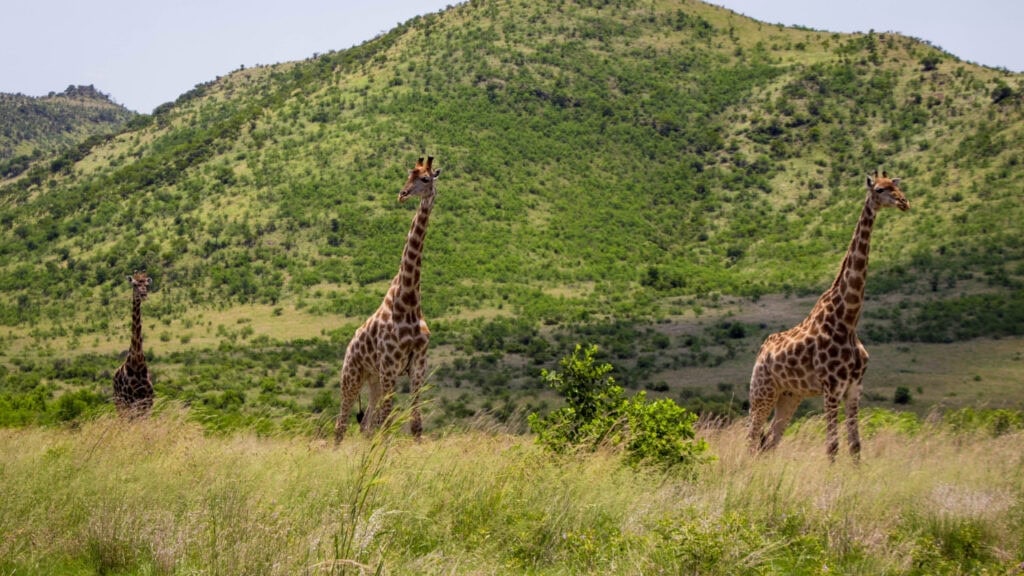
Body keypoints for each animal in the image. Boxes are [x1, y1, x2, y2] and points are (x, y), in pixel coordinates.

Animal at [112, 270, 153, 414]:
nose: (143, 294)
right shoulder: (131, 402)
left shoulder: (147, 402)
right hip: (120, 404)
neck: (138, 364)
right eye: (134, 284)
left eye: (147, 284)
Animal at [335, 154, 440, 440]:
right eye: (408, 175)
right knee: (341, 425)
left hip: (374, 380)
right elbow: (386, 422)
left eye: (425, 179)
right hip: (352, 376)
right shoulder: (391, 366)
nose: (402, 194)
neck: (409, 302)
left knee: (366, 425)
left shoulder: (417, 365)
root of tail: (349, 346)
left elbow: (415, 424)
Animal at [745, 169, 913, 457]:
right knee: (751, 439)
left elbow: (855, 446)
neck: (848, 320)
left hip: (790, 395)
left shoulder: (854, 388)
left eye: (896, 186)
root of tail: (761, 353)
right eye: (879, 190)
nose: (904, 202)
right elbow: (832, 446)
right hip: (762, 391)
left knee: (769, 442)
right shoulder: (831, 387)